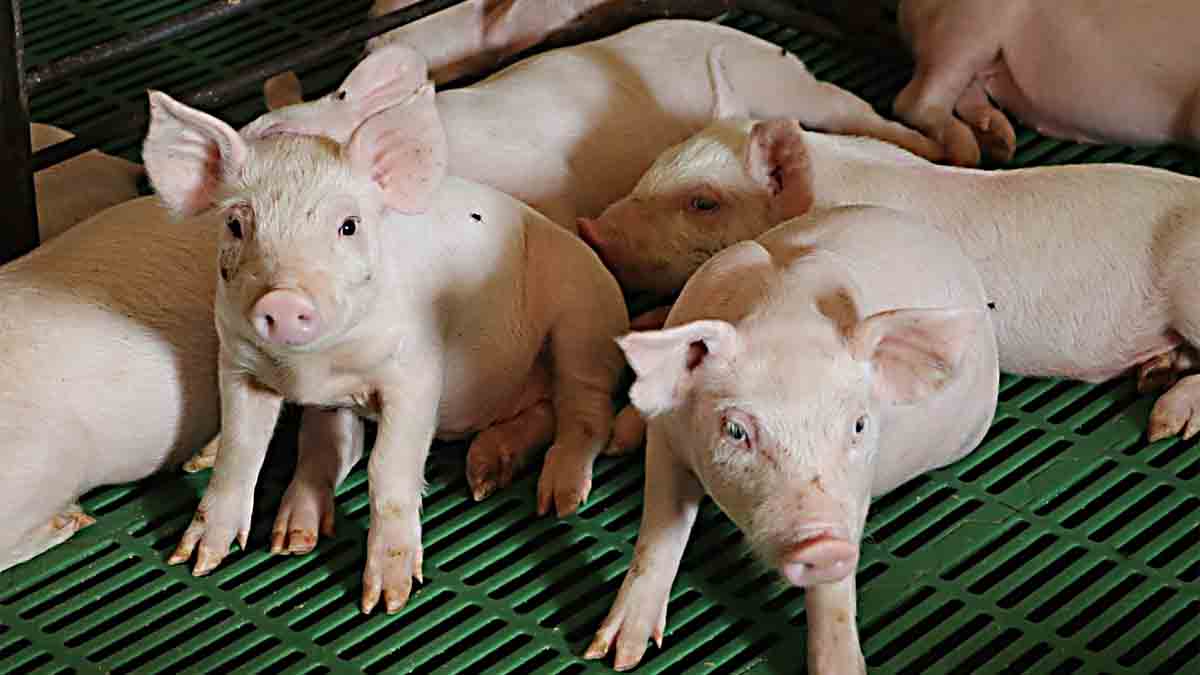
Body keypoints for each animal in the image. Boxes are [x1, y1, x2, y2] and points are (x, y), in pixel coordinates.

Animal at [142, 43, 631, 614]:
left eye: (348, 225)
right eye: (236, 225)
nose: (283, 299)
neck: (312, 369)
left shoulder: (415, 372)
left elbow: (388, 469)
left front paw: (387, 599)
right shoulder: (239, 363)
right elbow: (243, 450)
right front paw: (196, 560)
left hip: (582, 324)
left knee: (586, 413)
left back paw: (557, 499)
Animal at [580, 115, 1200, 444]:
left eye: (703, 202)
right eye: (656, 165)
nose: (589, 229)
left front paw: (622, 436)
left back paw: (1164, 424)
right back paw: (1153, 372)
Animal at [584, 205, 999, 672]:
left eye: (858, 425)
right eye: (736, 430)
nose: (823, 544)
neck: (784, 314)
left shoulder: (855, 491)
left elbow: (833, 590)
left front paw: (842, 668)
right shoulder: (667, 436)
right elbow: (659, 532)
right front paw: (616, 656)